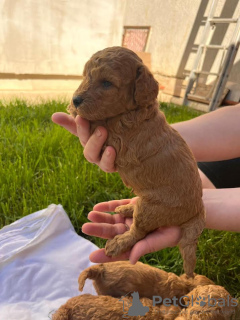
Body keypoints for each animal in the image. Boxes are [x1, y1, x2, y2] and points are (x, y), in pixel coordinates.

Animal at [66, 45, 205, 278]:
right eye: (86, 76)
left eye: (107, 83)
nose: (76, 99)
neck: (137, 111)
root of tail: (198, 209)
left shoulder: (117, 139)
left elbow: (98, 123)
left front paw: (73, 112)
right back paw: (127, 209)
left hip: (152, 208)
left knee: (139, 231)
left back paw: (119, 241)